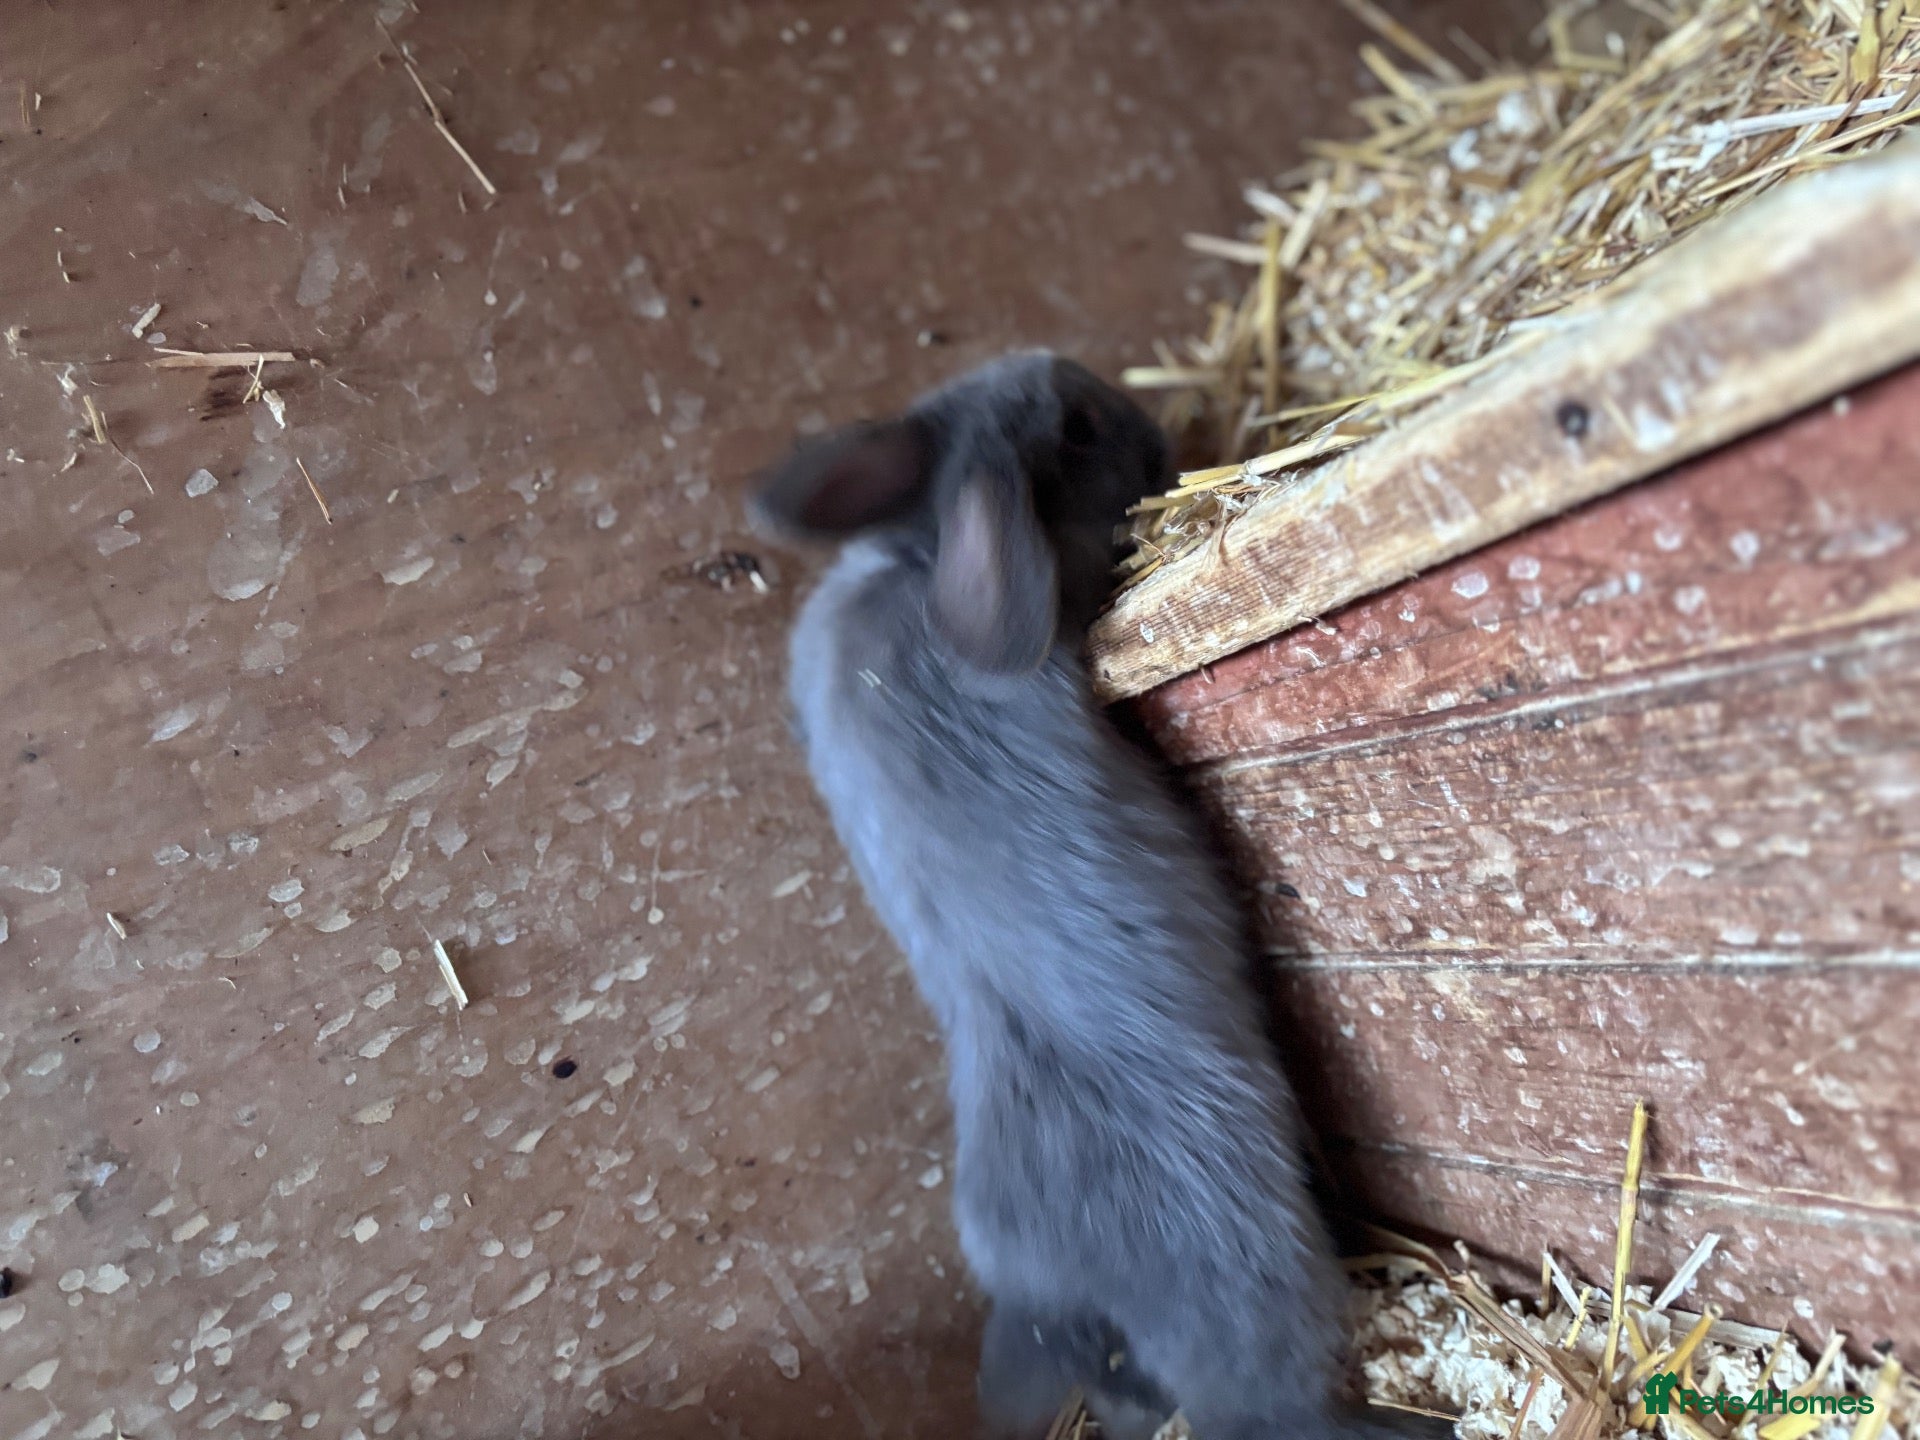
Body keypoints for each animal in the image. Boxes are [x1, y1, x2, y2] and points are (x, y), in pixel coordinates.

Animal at [751, 352, 1451, 1440]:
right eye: (1076, 429)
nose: (1146, 425)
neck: (916, 557)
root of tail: (1053, 1302)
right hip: (1257, 1260)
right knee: (1269, 1408)